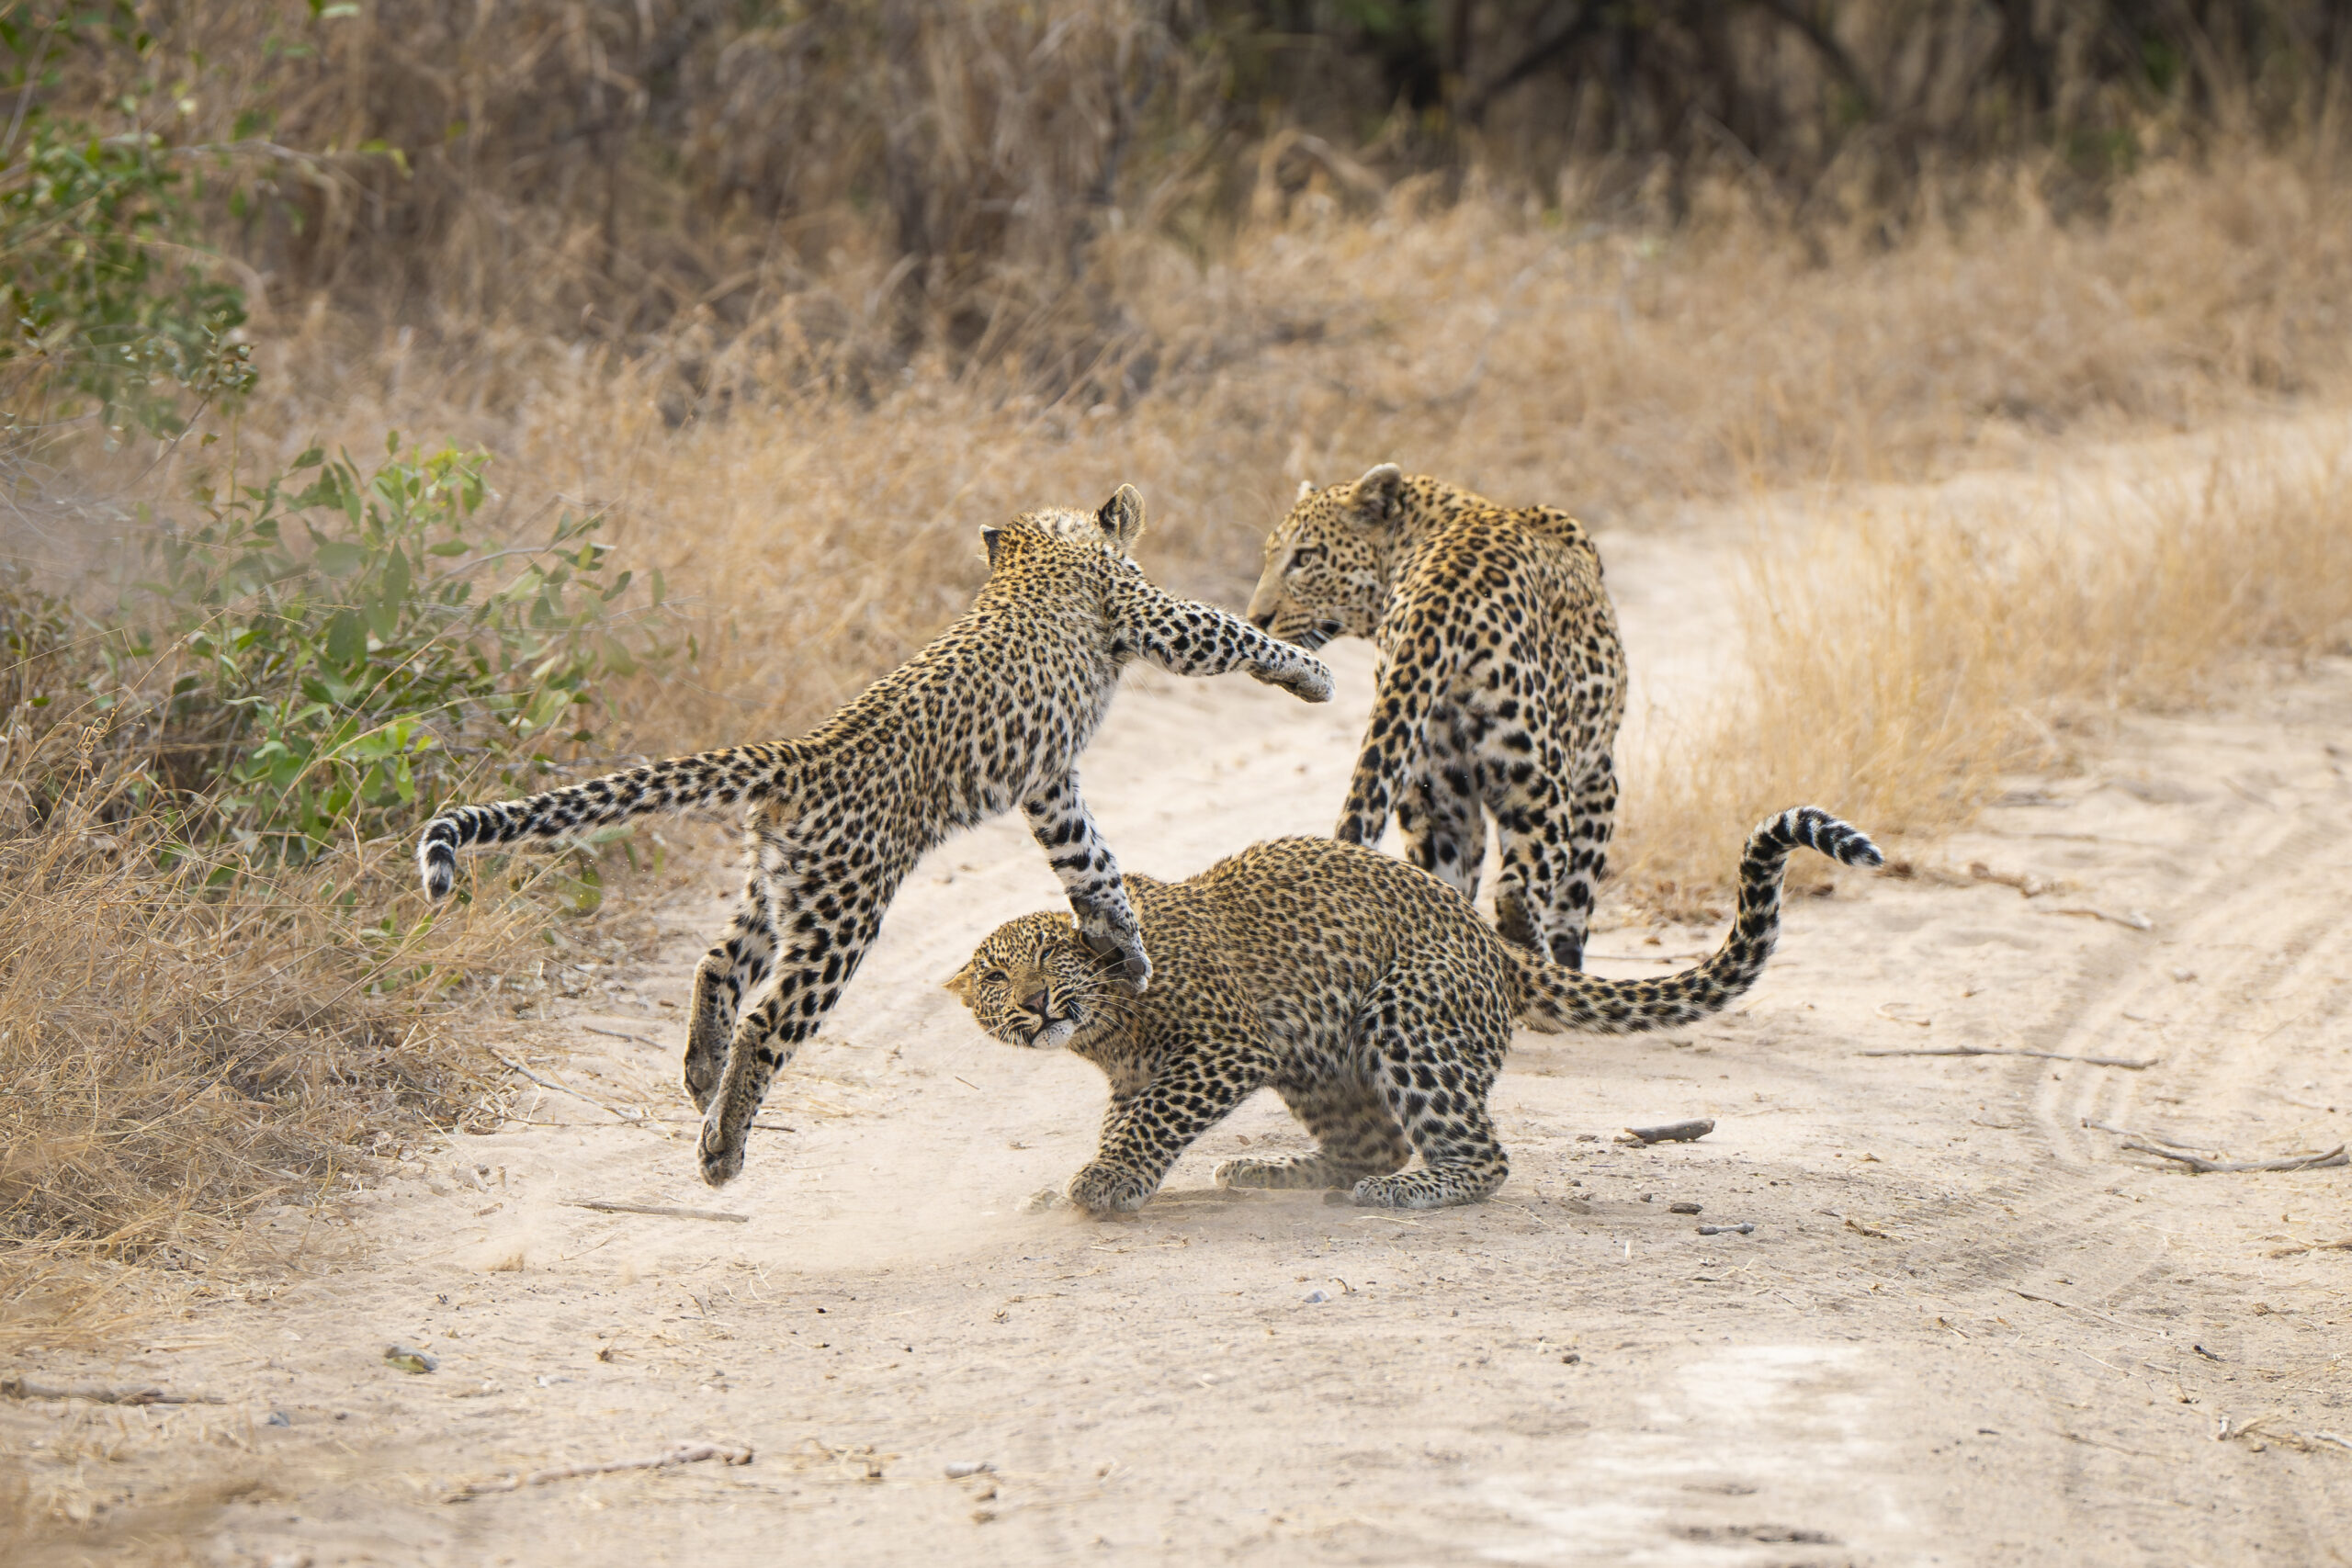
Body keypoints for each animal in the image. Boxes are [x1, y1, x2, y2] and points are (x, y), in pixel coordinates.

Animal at [416, 484, 1334, 1187]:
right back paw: (722, 1147)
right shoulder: (1153, 618)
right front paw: (1313, 673)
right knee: (767, 1021)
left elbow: (1093, 865)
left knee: (717, 961)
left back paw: (701, 1077)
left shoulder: (1049, 784)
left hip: (781, 888)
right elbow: (1232, 630)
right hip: (843, 916)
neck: (1033, 548)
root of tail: (802, 754)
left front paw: (1126, 950)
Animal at [946, 806, 1879, 1214]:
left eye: (1047, 958)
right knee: (1370, 1140)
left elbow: (1151, 1117)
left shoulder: (1226, 1044)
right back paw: (1273, 1170)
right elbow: (1129, 1115)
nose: (1033, 1004)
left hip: (1409, 1012)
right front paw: (1102, 1173)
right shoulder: (1150, 1067)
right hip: (1322, 1061)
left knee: (1481, 1156)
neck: (1104, 1025)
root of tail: (1495, 943)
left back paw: (1411, 1190)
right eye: (993, 977)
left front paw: (1108, 1179)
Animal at [1246, 464, 1626, 971]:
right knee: (1517, 888)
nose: (1256, 618)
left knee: (1451, 887)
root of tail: (1442, 590)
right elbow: (1575, 900)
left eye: (1305, 558)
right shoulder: (1598, 773)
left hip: (1434, 788)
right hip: (1536, 774)